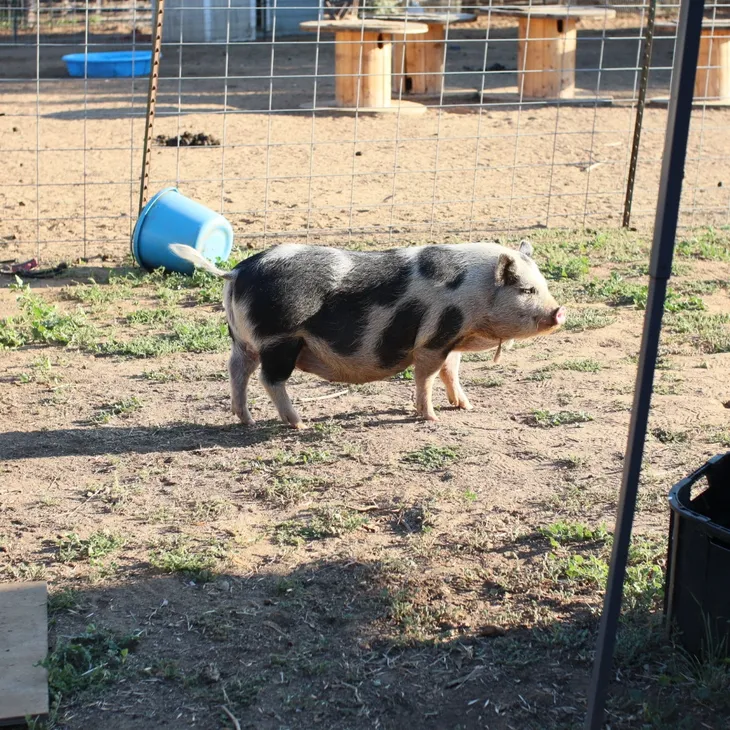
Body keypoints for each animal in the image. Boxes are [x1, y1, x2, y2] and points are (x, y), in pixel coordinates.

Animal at [170, 241, 566, 428]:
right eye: (526, 290)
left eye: (543, 285)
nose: (559, 311)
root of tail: (237, 271)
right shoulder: (432, 338)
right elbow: (426, 376)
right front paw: (431, 417)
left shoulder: (450, 340)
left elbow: (451, 372)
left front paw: (465, 406)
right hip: (279, 339)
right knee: (270, 379)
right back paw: (298, 424)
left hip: (244, 339)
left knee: (237, 370)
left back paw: (246, 419)